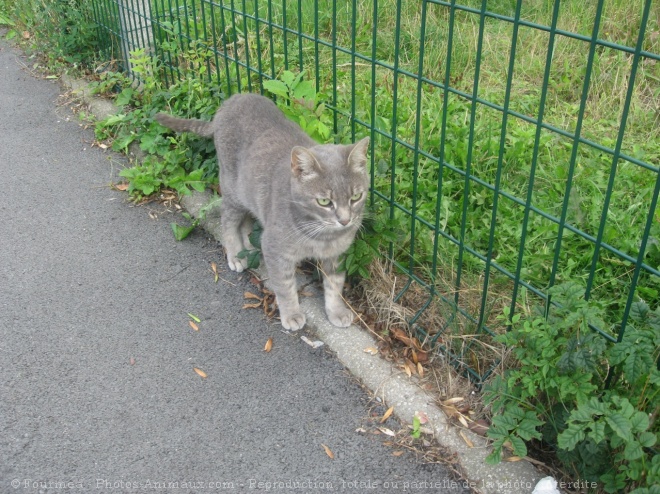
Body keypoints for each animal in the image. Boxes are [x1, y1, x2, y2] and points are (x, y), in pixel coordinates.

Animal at [156, 94, 372, 330]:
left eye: (355, 197)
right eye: (324, 201)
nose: (345, 220)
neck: (321, 237)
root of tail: (229, 102)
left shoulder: (337, 254)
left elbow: (335, 285)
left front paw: (336, 311)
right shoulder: (276, 249)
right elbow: (285, 287)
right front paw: (291, 314)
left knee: (246, 223)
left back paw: (250, 247)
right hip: (233, 192)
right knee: (228, 222)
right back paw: (235, 255)